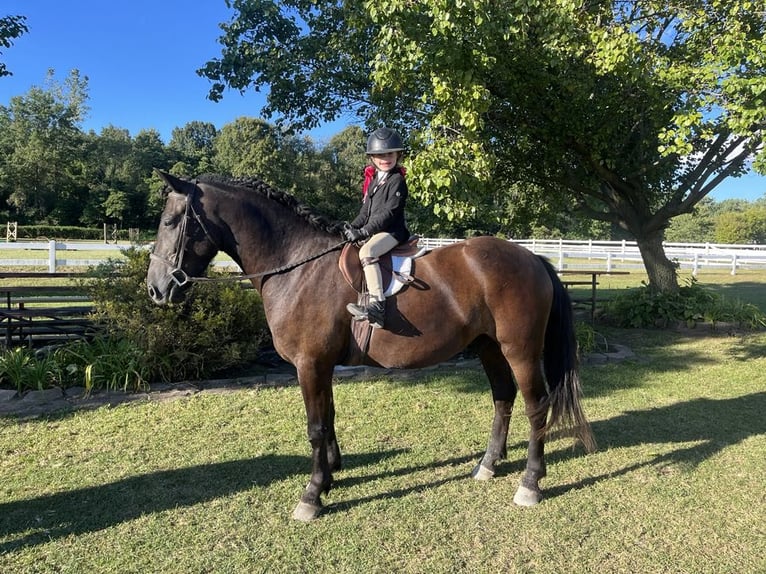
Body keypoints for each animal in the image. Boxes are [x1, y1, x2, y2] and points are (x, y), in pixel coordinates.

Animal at [146, 170, 595, 521]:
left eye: (169, 221)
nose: (156, 289)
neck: (298, 265)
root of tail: (532, 259)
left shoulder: (309, 364)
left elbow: (315, 426)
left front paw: (312, 495)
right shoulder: (321, 365)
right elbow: (327, 418)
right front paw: (330, 475)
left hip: (520, 349)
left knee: (536, 405)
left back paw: (530, 483)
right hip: (488, 347)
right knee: (503, 398)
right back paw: (487, 465)